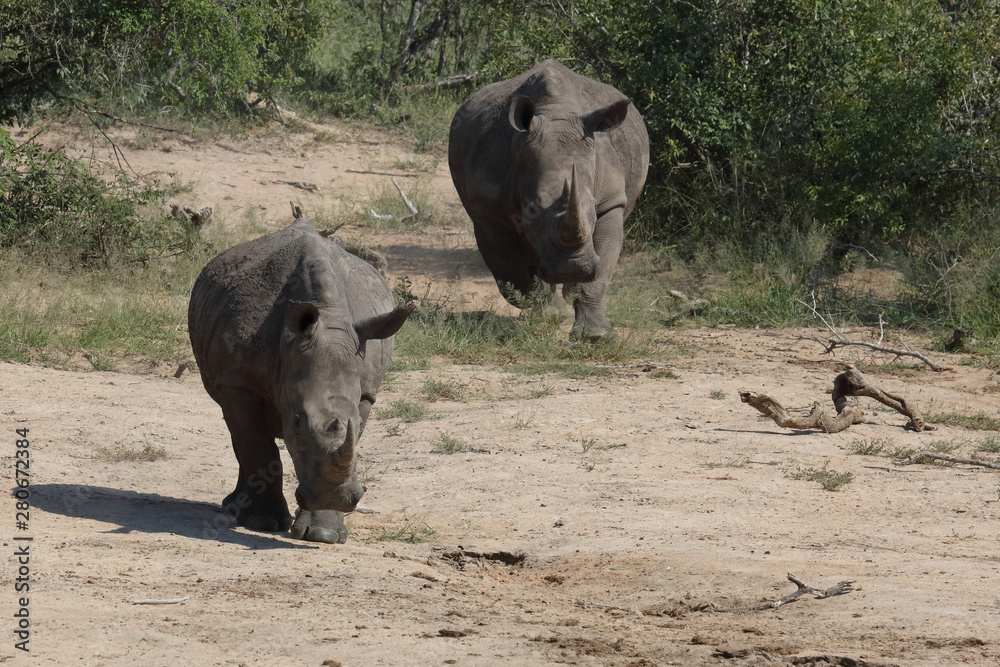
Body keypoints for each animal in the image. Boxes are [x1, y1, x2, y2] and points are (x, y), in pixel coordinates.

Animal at [188, 219, 411, 543]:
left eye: (356, 419)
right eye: (296, 421)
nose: (335, 498)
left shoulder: (366, 392)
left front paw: (323, 535)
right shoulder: (237, 381)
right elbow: (256, 445)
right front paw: (262, 523)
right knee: (239, 431)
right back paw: (235, 510)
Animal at [448, 59, 649, 340]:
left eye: (593, 208)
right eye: (531, 209)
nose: (572, 267)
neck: (555, 114)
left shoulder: (610, 202)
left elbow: (602, 270)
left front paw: (595, 336)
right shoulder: (487, 211)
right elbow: (511, 271)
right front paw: (551, 313)